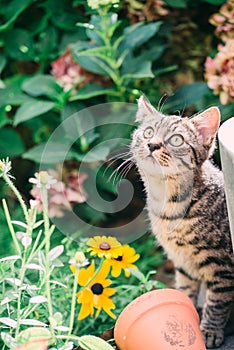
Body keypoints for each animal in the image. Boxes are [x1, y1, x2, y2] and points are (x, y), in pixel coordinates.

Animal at [132, 95, 234, 348]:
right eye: (148, 132)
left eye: (176, 139)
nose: (152, 144)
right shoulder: (182, 261)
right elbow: (185, 290)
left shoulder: (222, 264)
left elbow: (218, 300)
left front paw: (210, 330)